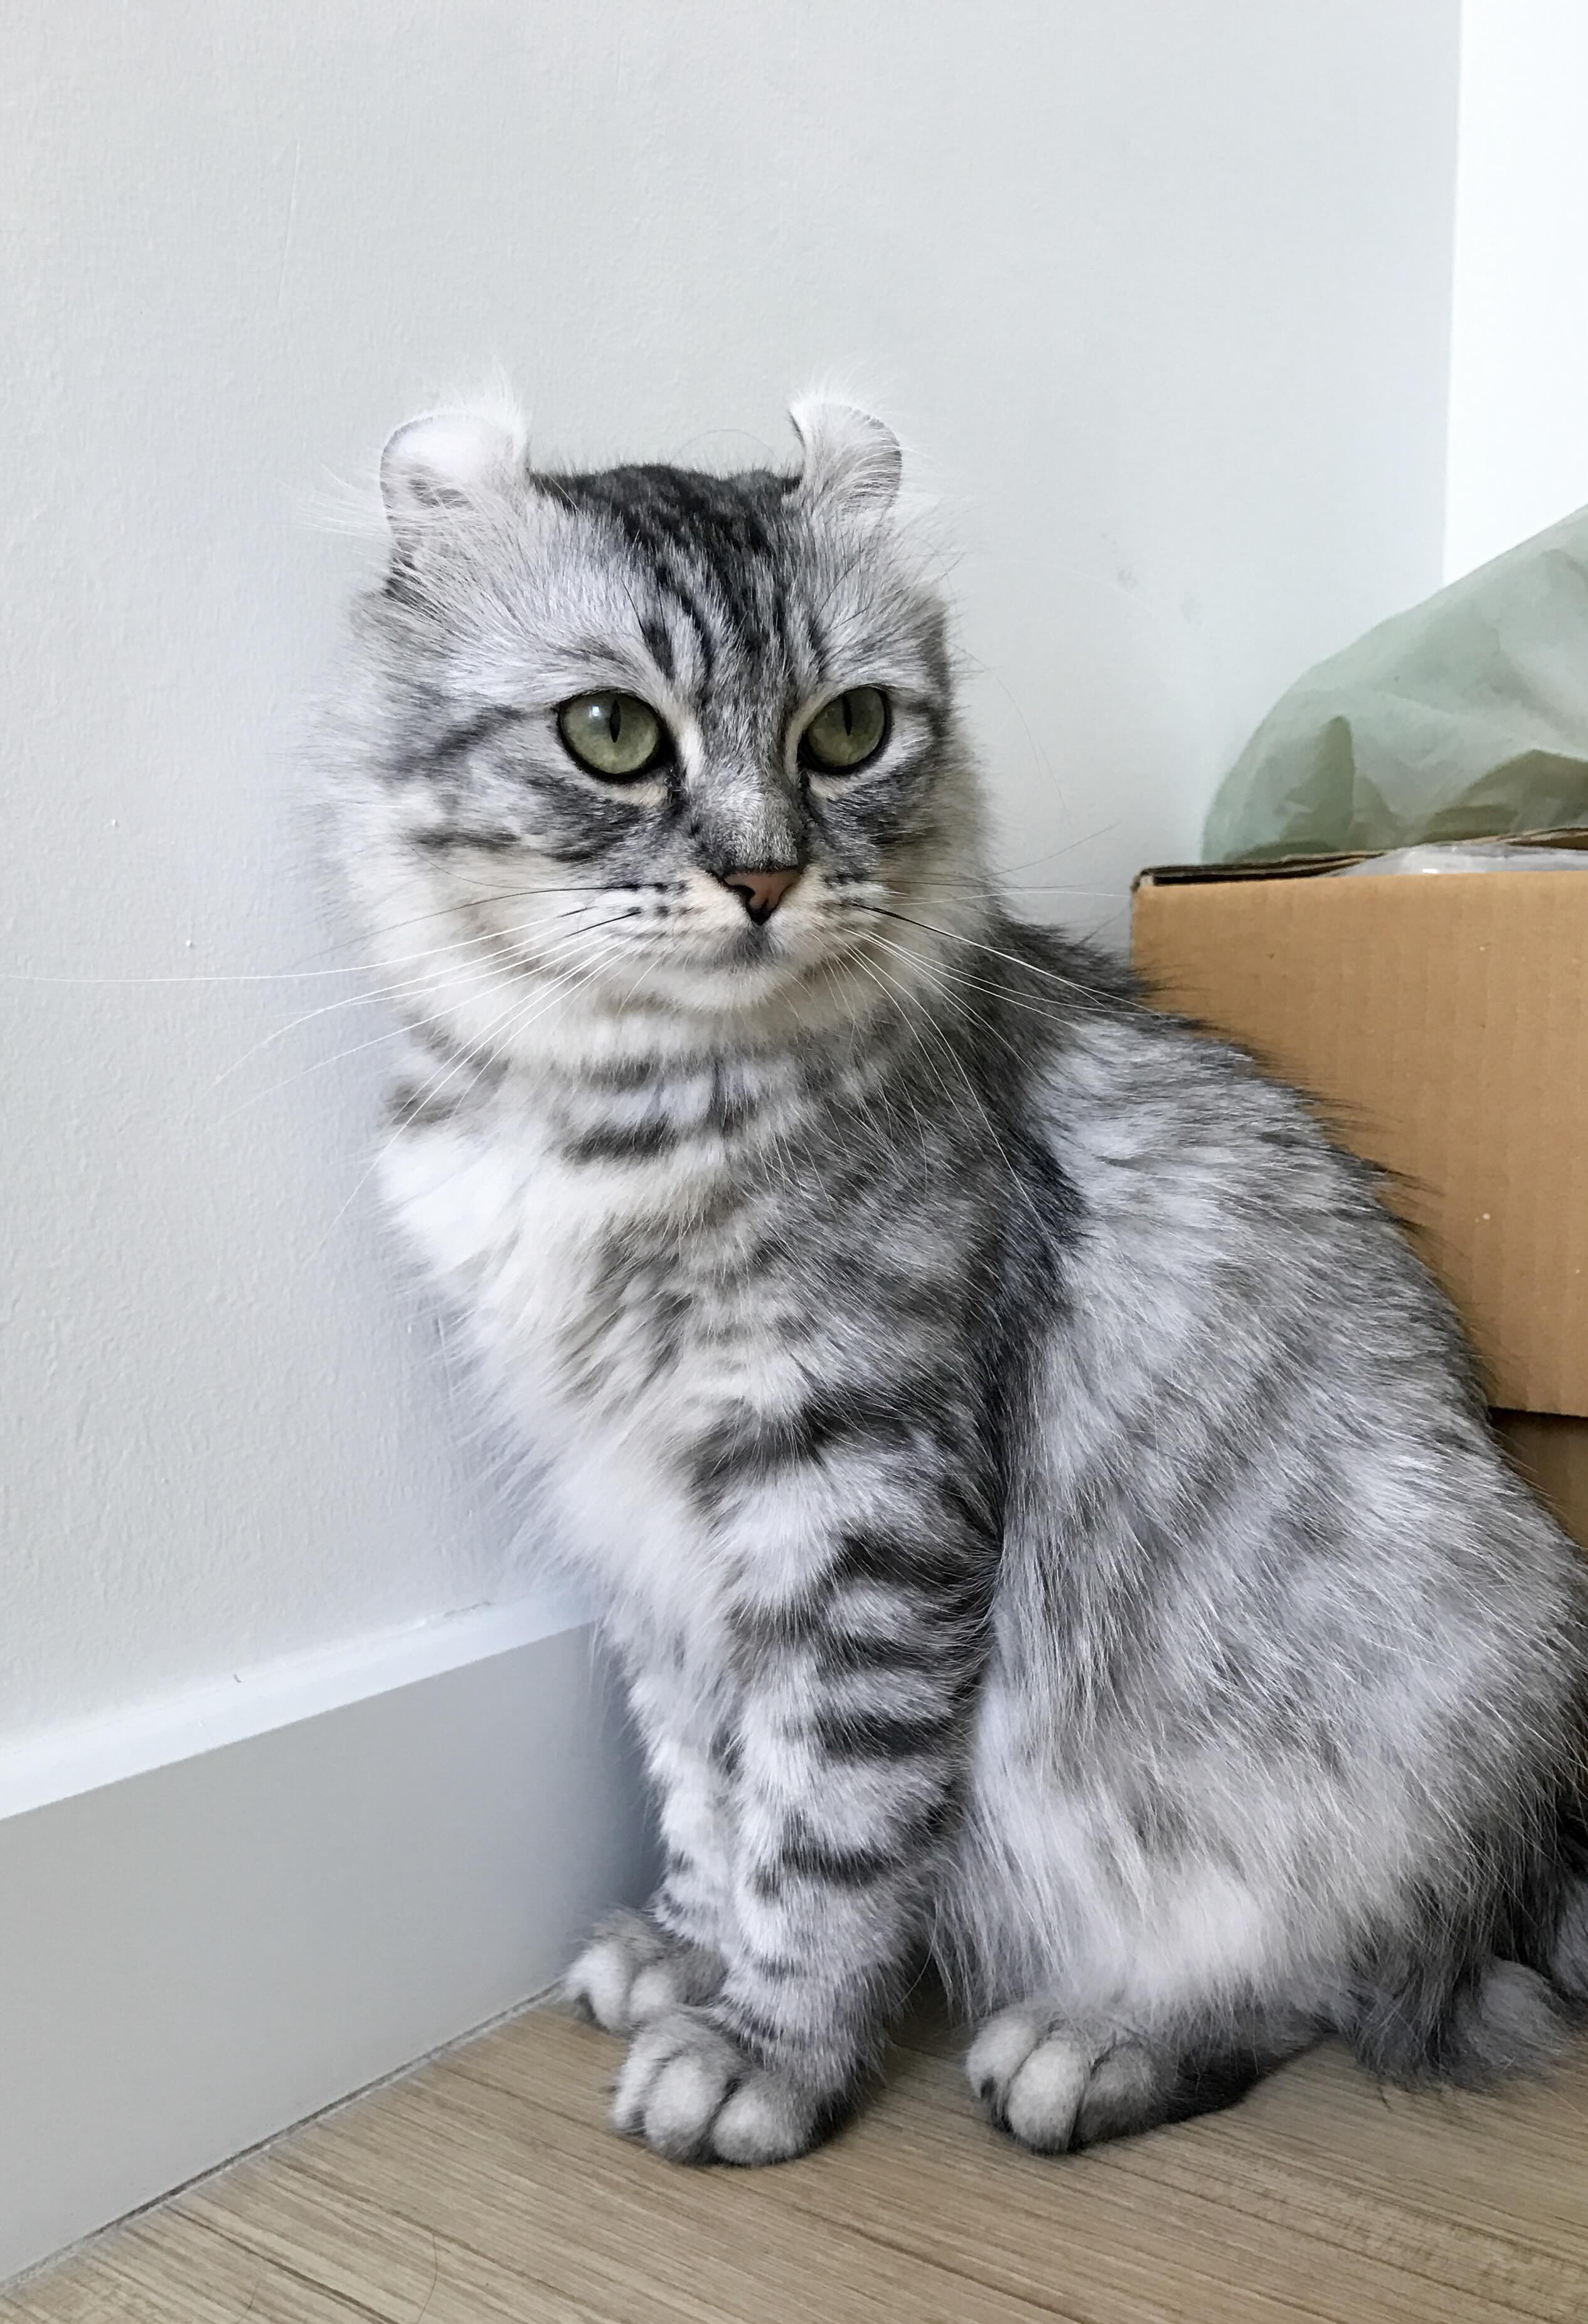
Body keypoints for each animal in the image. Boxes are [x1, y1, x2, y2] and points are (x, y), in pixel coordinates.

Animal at [323, 395, 1588, 2156]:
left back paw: (1089, 2045)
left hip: (1402, 1709)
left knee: (1338, 1991)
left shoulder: (848, 1486)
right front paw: (688, 1952)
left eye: (846, 732)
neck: (608, 1113)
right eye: (612, 734)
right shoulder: (645, 1529)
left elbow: (819, 1826)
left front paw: (764, 2050)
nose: (764, 877)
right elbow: (706, 1792)